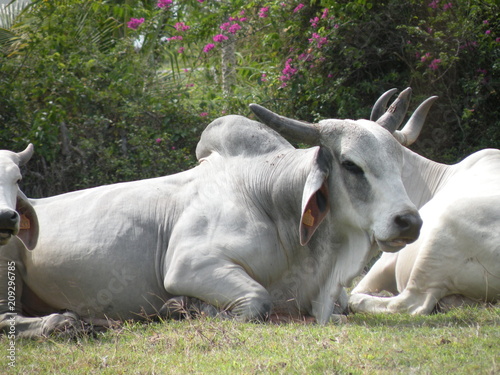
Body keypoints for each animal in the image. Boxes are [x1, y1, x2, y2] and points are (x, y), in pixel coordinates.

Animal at [0, 98, 426, 340]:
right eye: (352, 165)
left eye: (399, 160)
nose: (410, 222)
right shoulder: (190, 265)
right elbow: (257, 302)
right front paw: (183, 308)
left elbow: (347, 304)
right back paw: (62, 324)